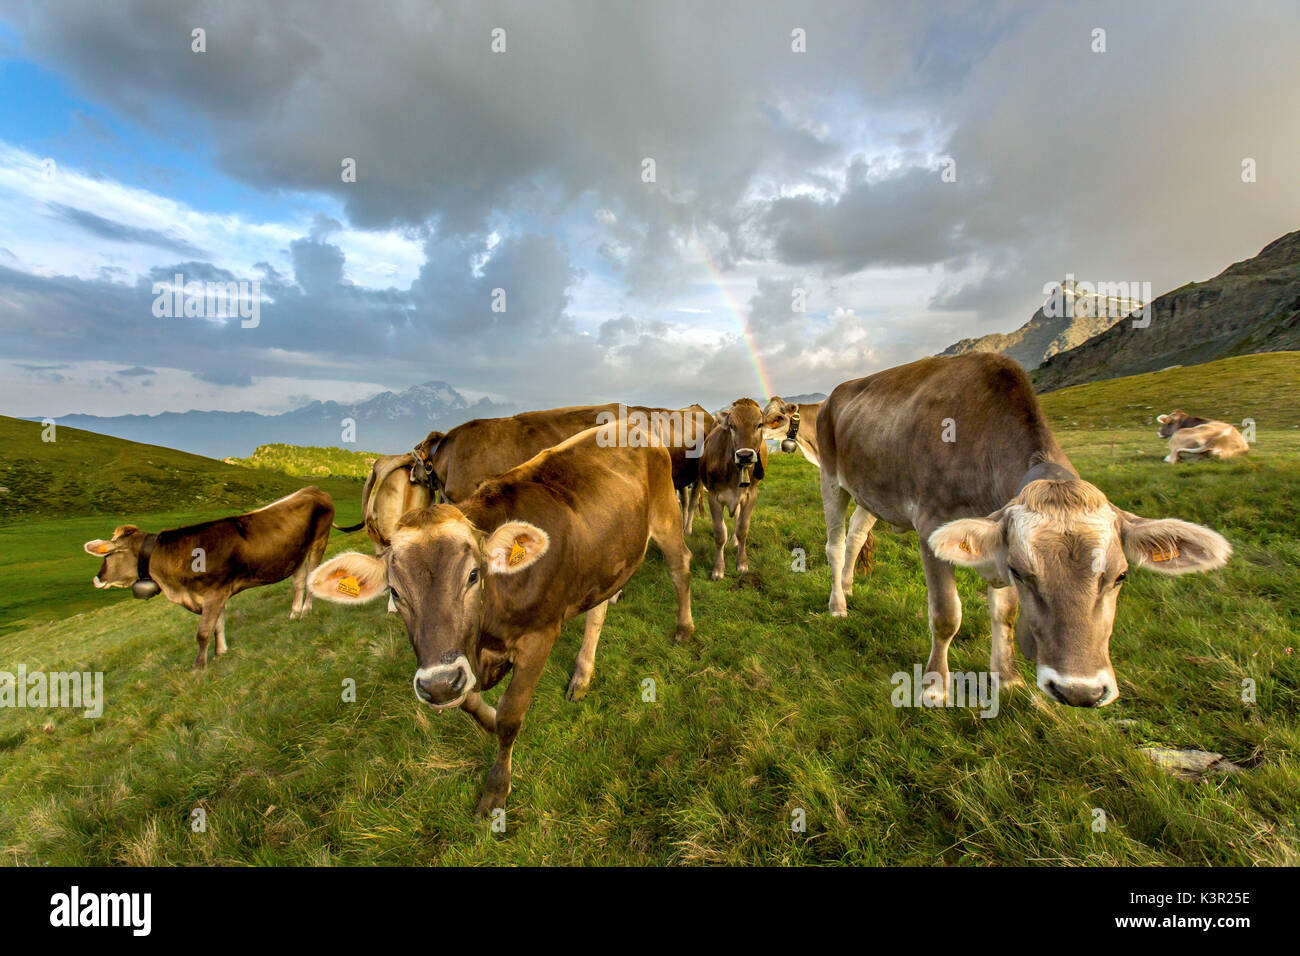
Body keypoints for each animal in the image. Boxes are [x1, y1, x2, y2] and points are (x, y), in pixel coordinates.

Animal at [83, 487, 335, 669]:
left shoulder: (215, 591)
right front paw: (221, 652)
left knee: (311, 578)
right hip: (296, 554)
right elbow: (217, 624)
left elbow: (203, 632)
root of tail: (312, 489)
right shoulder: (213, 594)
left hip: (319, 540)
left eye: (109, 555)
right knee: (298, 581)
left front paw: (199, 667)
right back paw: (294, 613)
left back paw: (306, 610)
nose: (97, 579)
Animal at [308, 426, 694, 817]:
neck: (487, 633)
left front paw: (496, 789)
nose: (439, 685)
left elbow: (510, 715)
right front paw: (487, 718)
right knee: (598, 609)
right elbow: (470, 703)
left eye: (473, 574)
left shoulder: (539, 638)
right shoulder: (454, 662)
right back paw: (582, 676)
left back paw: (684, 629)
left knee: (681, 568)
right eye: (395, 592)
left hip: (666, 515)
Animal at [699, 398, 768, 580]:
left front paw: (742, 564)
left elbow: (742, 528)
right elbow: (719, 533)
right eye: (732, 426)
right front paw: (718, 569)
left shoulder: (751, 495)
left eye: (759, 424)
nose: (744, 455)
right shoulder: (713, 496)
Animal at [818, 354, 1232, 708]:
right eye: (1021, 571)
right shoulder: (931, 526)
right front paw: (935, 687)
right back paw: (838, 604)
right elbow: (946, 615)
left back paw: (849, 585)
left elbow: (1004, 613)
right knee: (835, 544)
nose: (1079, 691)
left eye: (1120, 576)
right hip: (831, 478)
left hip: (871, 493)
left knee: (856, 537)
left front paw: (1008, 678)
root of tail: (836, 392)